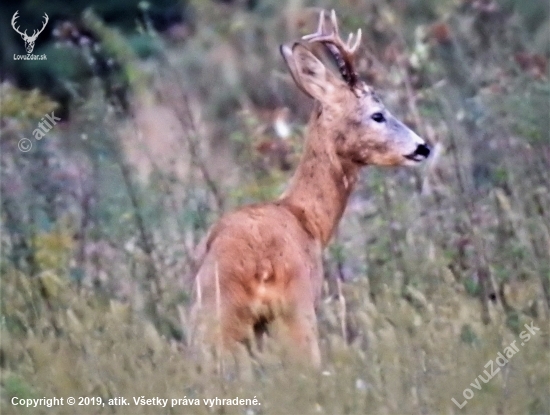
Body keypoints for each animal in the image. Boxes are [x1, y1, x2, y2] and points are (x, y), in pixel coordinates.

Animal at [190, 9, 432, 368]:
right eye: (378, 114)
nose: (422, 147)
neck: (306, 217)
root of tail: (255, 264)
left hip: (213, 316)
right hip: (295, 309)